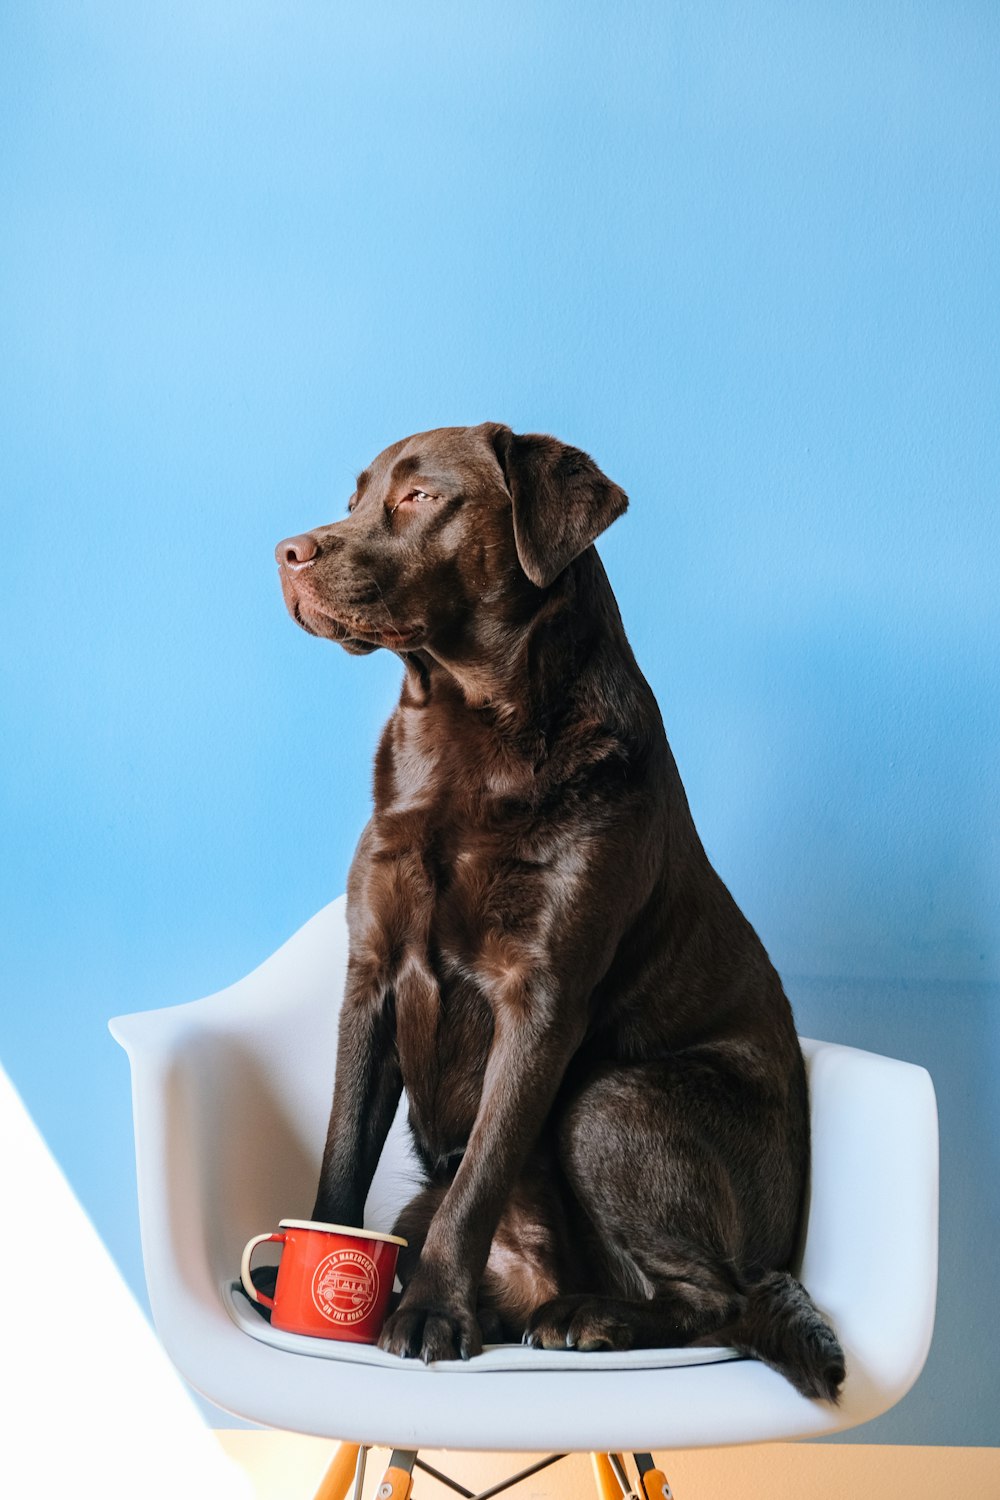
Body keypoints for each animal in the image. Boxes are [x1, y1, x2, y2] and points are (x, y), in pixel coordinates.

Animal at [274, 420, 845, 1392]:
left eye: (420, 497)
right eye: (354, 498)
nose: (287, 552)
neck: (463, 734)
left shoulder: (539, 999)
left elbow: (482, 1175)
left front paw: (431, 1313)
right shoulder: (371, 977)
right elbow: (341, 1151)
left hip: (613, 1102)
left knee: (718, 1300)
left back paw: (587, 1318)